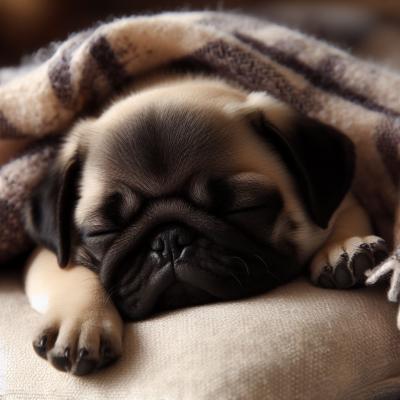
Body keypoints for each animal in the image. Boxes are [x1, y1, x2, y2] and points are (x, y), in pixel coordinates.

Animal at [21, 72, 388, 376]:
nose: (168, 240)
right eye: (102, 231)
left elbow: (342, 219)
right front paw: (82, 319)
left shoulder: (342, 199)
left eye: (246, 208)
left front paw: (343, 247)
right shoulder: (46, 254)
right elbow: (73, 274)